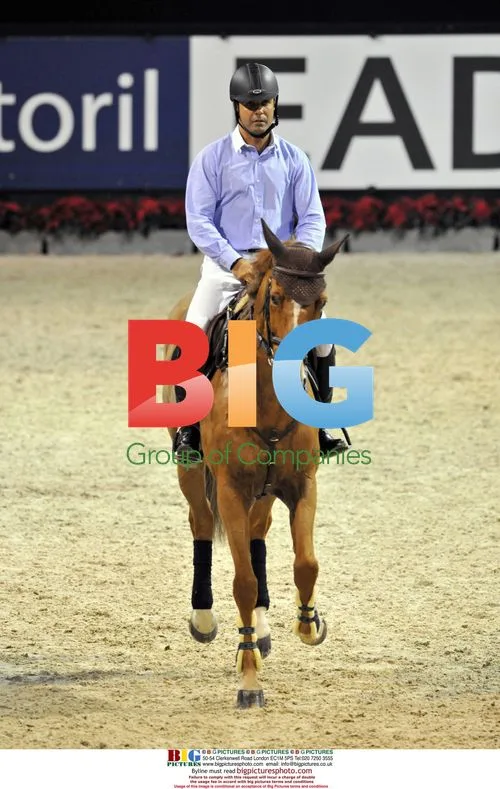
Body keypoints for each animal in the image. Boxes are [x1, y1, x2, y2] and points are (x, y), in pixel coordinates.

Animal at [163, 220, 347, 708]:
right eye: (277, 296)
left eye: (321, 301)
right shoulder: (228, 490)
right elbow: (242, 580)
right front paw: (249, 679)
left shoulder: (302, 485)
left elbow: (306, 564)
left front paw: (309, 623)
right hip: (192, 473)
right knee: (201, 525)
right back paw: (204, 619)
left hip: (263, 492)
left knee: (257, 534)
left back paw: (262, 628)